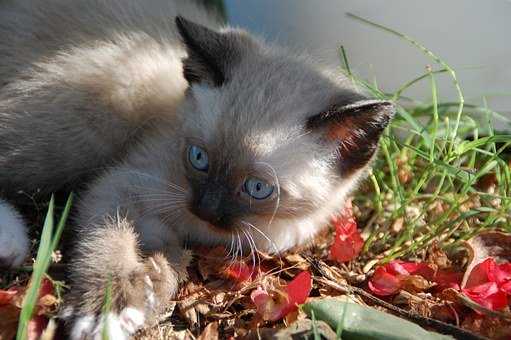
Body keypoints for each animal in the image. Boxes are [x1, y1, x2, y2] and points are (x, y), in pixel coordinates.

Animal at [0, 0, 396, 338]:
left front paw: (149, 287)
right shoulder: (121, 184)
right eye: (198, 157)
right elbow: (109, 241)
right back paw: (11, 242)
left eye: (257, 188)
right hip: (94, 120)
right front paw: (108, 310)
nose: (205, 208)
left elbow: (170, 262)